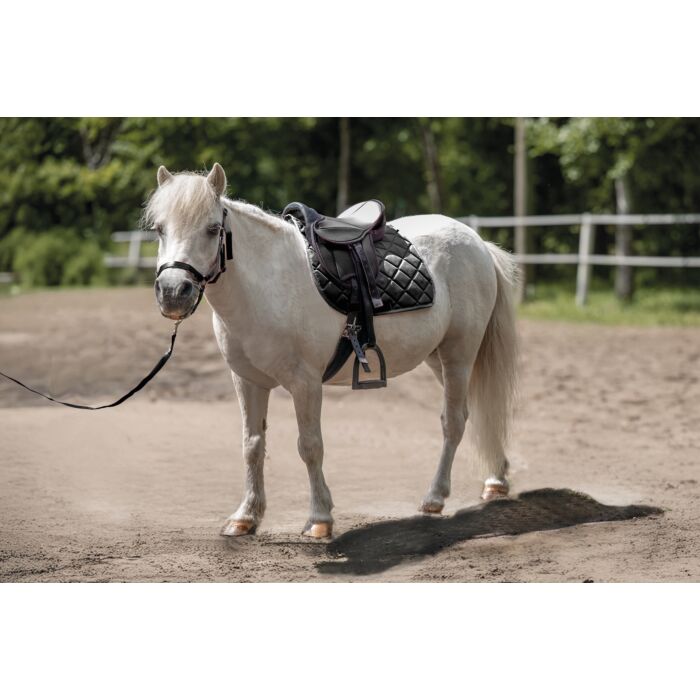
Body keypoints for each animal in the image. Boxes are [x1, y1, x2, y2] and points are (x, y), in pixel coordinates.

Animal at [145, 163, 519, 538]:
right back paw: (495, 479)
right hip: (438, 360)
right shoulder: (248, 381)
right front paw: (246, 516)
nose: (173, 293)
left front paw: (319, 519)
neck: (267, 285)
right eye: (159, 229)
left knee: (453, 422)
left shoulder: (305, 383)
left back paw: (436, 497)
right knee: (475, 413)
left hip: (459, 354)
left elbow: (310, 446)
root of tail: (476, 242)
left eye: (212, 229)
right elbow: (252, 445)